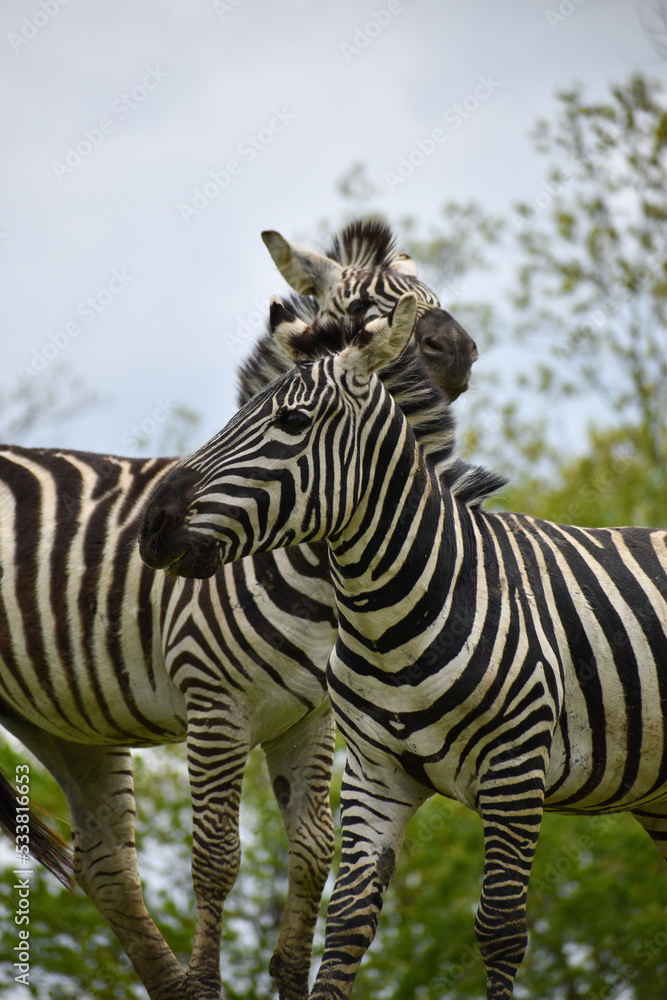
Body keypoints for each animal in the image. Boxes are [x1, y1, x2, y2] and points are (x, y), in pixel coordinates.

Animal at [0, 223, 478, 1000]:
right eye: (361, 304)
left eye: (433, 292)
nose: (457, 351)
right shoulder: (214, 702)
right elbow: (218, 857)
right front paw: (211, 981)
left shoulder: (309, 718)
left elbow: (312, 849)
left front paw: (287, 975)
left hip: (65, 718)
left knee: (106, 864)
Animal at [140, 293, 667, 1000]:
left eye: (292, 421)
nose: (152, 525)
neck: (389, 614)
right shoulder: (375, 773)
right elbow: (346, 925)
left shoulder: (515, 770)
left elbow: (500, 928)